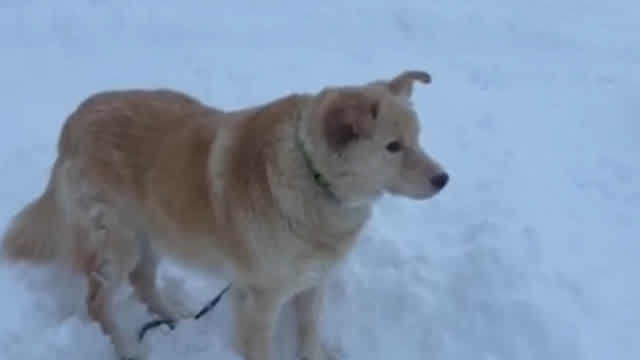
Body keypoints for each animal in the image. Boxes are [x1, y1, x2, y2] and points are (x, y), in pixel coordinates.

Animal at [0, 70, 450, 360]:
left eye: (418, 138)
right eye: (393, 147)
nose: (443, 179)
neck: (313, 176)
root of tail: (74, 120)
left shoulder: (312, 285)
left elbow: (308, 337)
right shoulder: (260, 300)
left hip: (153, 231)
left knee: (143, 281)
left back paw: (176, 316)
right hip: (118, 242)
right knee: (97, 302)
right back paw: (129, 348)